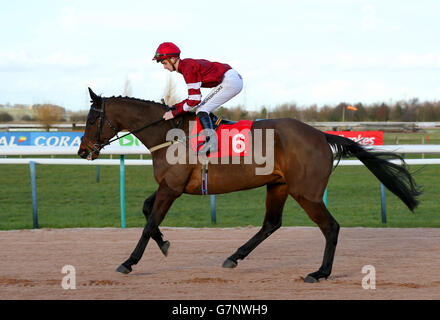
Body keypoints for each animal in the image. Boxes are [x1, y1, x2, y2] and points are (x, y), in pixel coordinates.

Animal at [77, 88, 422, 282]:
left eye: (91, 120)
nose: (82, 151)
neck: (168, 134)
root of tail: (321, 135)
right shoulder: (169, 186)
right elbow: (147, 210)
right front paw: (164, 244)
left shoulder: (171, 188)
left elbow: (149, 223)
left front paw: (128, 262)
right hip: (279, 186)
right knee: (271, 223)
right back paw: (234, 256)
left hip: (306, 192)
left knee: (331, 227)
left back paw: (319, 273)